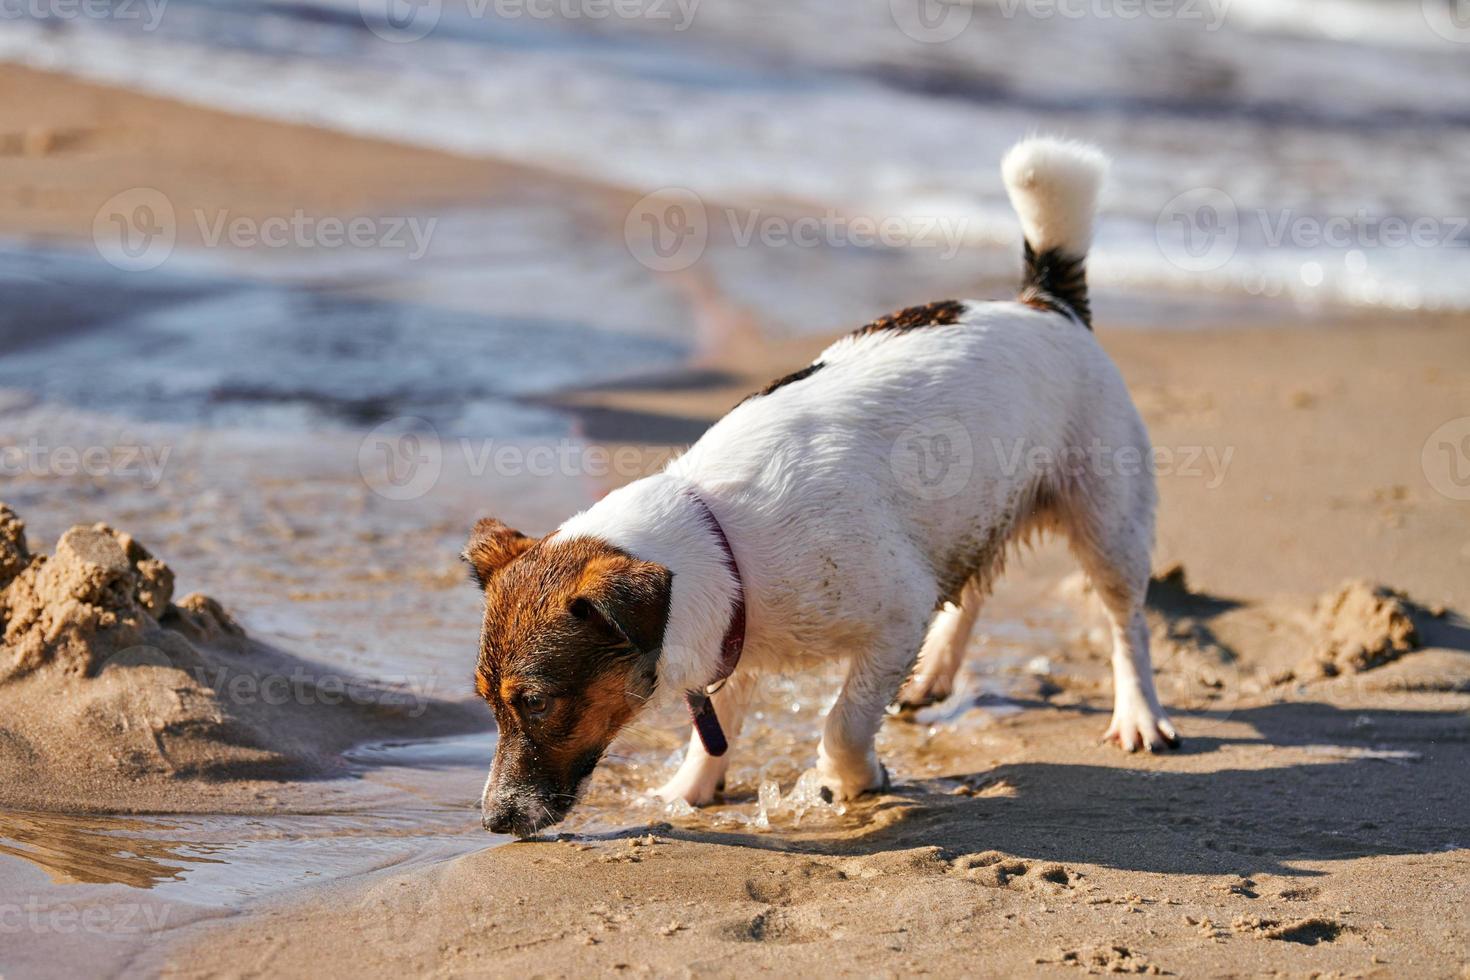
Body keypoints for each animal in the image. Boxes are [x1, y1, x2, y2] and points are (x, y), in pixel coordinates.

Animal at [470, 138, 1181, 840]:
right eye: (485, 701)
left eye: (536, 702)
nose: (493, 821)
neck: (723, 539)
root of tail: (1046, 303)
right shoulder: (735, 643)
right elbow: (715, 731)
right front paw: (688, 789)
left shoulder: (895, 616)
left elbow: (843, 721)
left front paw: (852, 779)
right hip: (973, 512)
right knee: (972, 589)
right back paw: (936, 674)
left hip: (1108, 521)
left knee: (1126, 623)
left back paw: (1138, 715)